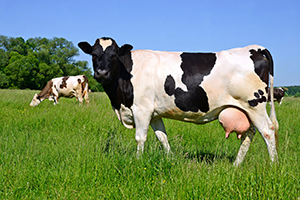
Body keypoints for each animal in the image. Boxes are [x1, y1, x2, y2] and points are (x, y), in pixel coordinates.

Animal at [78, 37, 278, 166]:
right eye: (94, 55)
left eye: (114, 55)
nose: (101, 73)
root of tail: (255, 48)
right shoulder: (154, 114)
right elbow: (162, 137)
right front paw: (170, 159)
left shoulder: (142, 109)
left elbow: (140, 138)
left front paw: (137, 161)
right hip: (246, 109)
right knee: (250, 133)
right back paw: (236, 165)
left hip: (255, 105)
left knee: (268, 132)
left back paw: (273, 165)